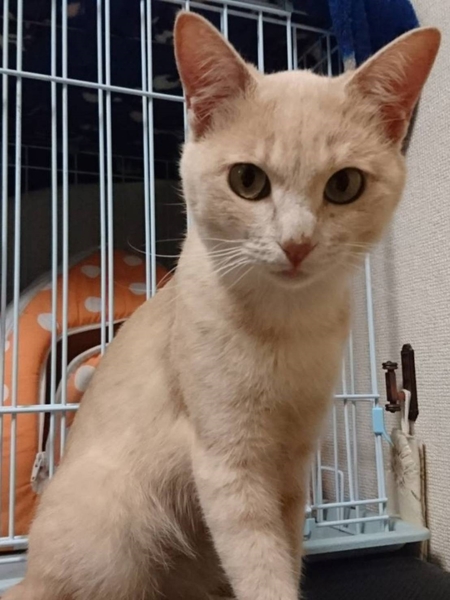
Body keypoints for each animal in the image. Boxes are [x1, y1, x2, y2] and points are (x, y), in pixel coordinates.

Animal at [3, 12, 440, 600]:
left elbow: (285, 549)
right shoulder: (228, 460)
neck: (286, 327)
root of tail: (30, 575)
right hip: (114, 532)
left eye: (345, 184)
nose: (297, 243)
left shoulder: (291, 465)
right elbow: (257, 559)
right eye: (247, 180)